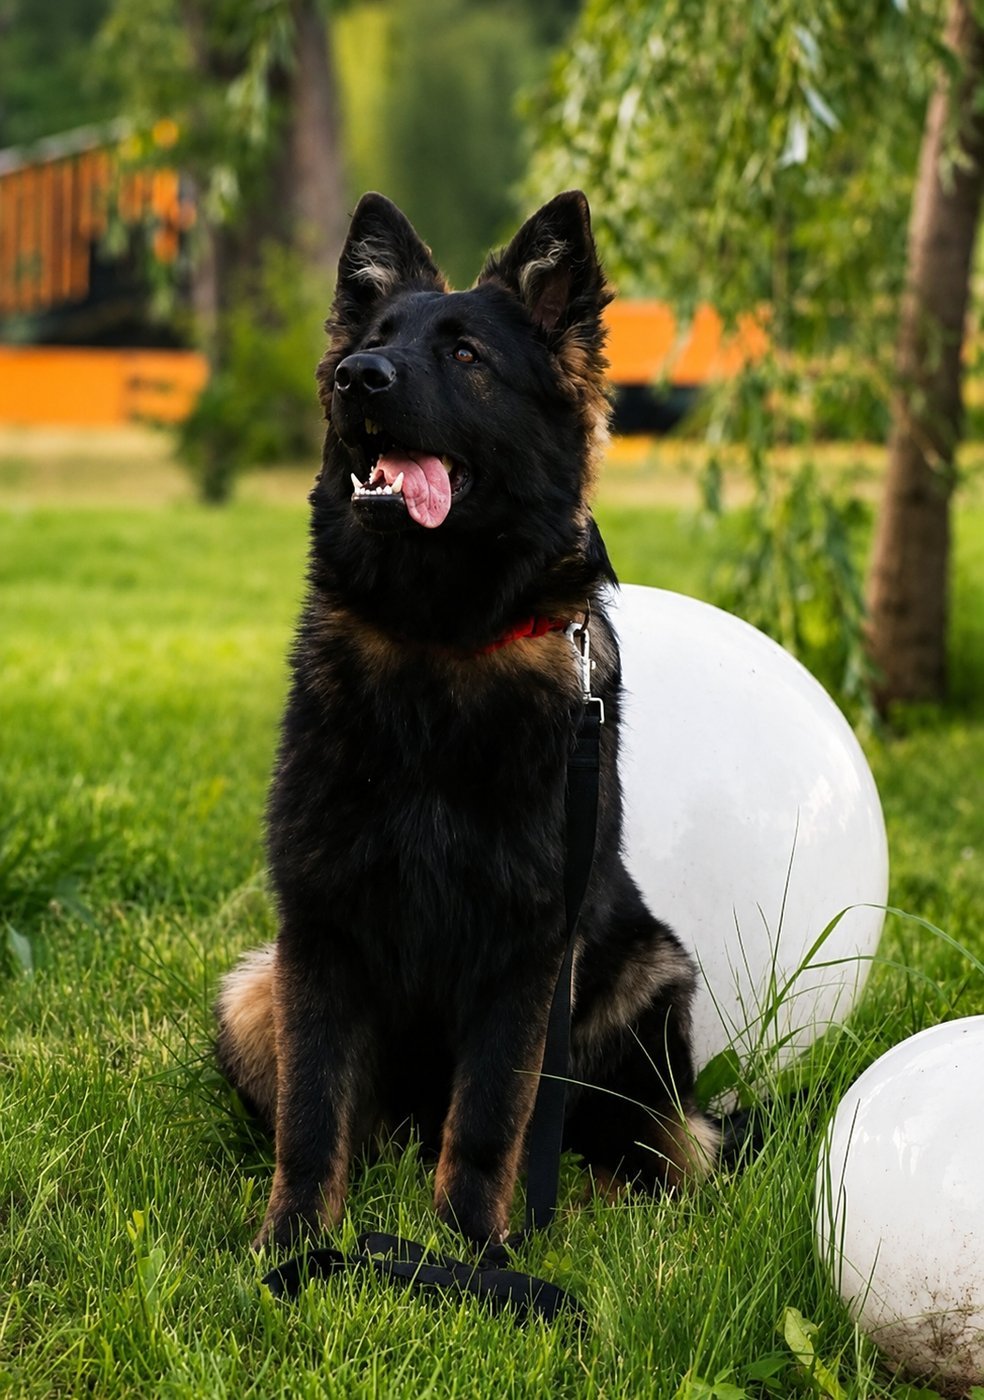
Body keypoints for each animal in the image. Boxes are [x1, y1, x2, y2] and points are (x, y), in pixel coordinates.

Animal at [216, 190, 719, 1251]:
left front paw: (473, 1250)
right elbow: (313, 1113)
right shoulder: (318, 929)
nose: (359, 378)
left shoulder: (525, 953)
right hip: (248, 993)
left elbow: (490, 1117)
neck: (437, 639)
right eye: (373, 342)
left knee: (657, 1154)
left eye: (466, 355)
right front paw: (295, 1248)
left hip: (648, 979)